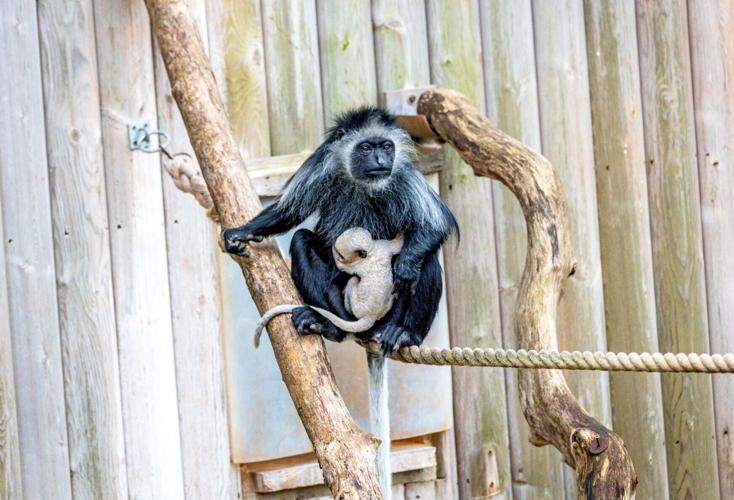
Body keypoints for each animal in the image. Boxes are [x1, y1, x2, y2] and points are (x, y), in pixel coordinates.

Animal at [253, 228, 404, 348]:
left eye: (341, 255)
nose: (338, 256)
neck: (371, 253)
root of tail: (369, 317)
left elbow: (333, 285)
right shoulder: (382, 246)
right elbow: (398, 243)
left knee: (352, 281)